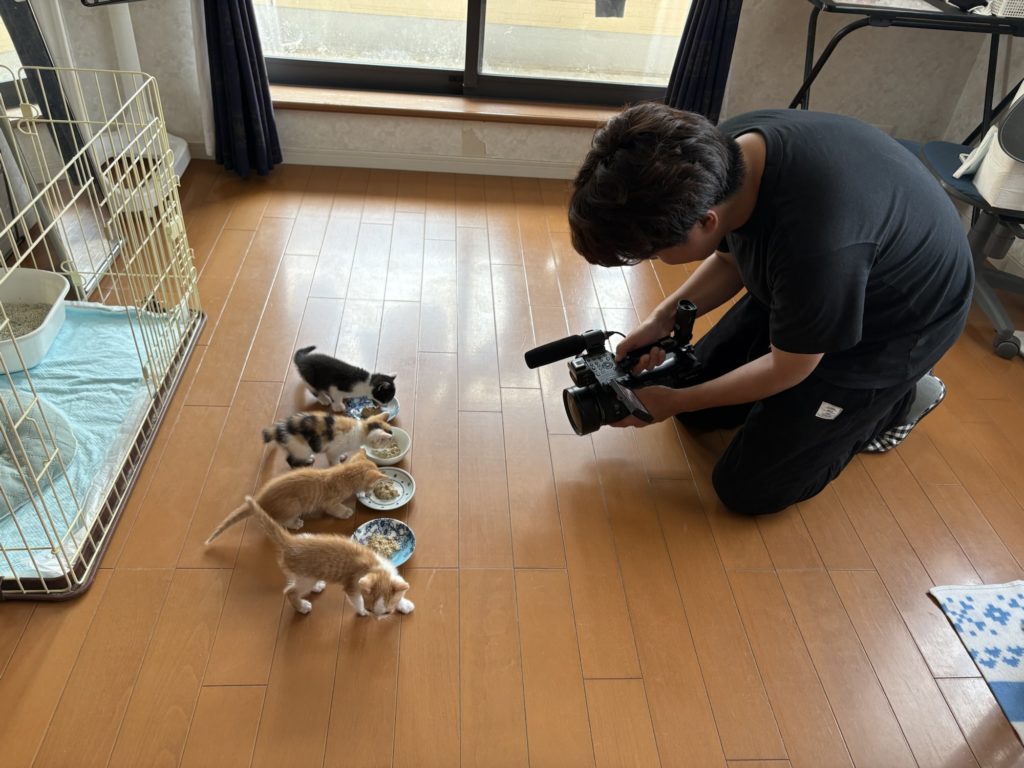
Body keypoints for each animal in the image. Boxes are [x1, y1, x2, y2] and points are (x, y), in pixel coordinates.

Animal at [205, 448, 386, 541]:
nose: (371, 491)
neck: (344, 474)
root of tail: (259, 499)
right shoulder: (330, 503)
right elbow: (335, 509)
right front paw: (346, 511)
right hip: (293, 505)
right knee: (280, 521)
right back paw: (295, 523)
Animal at [243, 495, 414, 616]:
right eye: (371, 610)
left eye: (387, 613)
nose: (376, 619)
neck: (376, 567)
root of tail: (290, 541)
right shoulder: (352, 586)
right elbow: (357, 600)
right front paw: (362, 611)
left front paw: (404, 604)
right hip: (305, 577)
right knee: (290, 592)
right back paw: (302, 607)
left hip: (304, 568)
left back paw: (317, 586)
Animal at [262, 410, 395, 468]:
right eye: (387, 442)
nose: (392, 443)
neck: (361, 429)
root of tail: (279, 428)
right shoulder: (333, 450)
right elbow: (334, 460)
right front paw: (339, 467)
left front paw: (342, 456)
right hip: (302, 448)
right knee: (290, 459)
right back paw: (302, 464)